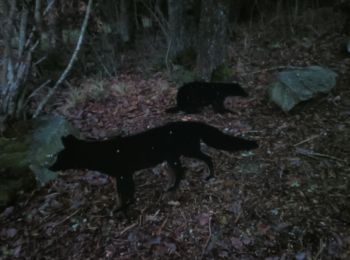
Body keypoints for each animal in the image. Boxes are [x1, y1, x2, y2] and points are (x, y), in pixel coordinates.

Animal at [48, 121, 258, 211]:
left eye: (59, 157)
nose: (49, 167)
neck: (101, 154)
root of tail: (193, 122)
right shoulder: (122, 175)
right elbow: (122, 193)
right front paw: (121, 206)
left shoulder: (124, 174)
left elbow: (127, 193)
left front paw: (123, 209)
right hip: (174, 157)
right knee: (182, 171)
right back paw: (172, 187)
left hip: (187, 151)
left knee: (205, 159)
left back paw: (208, 176)